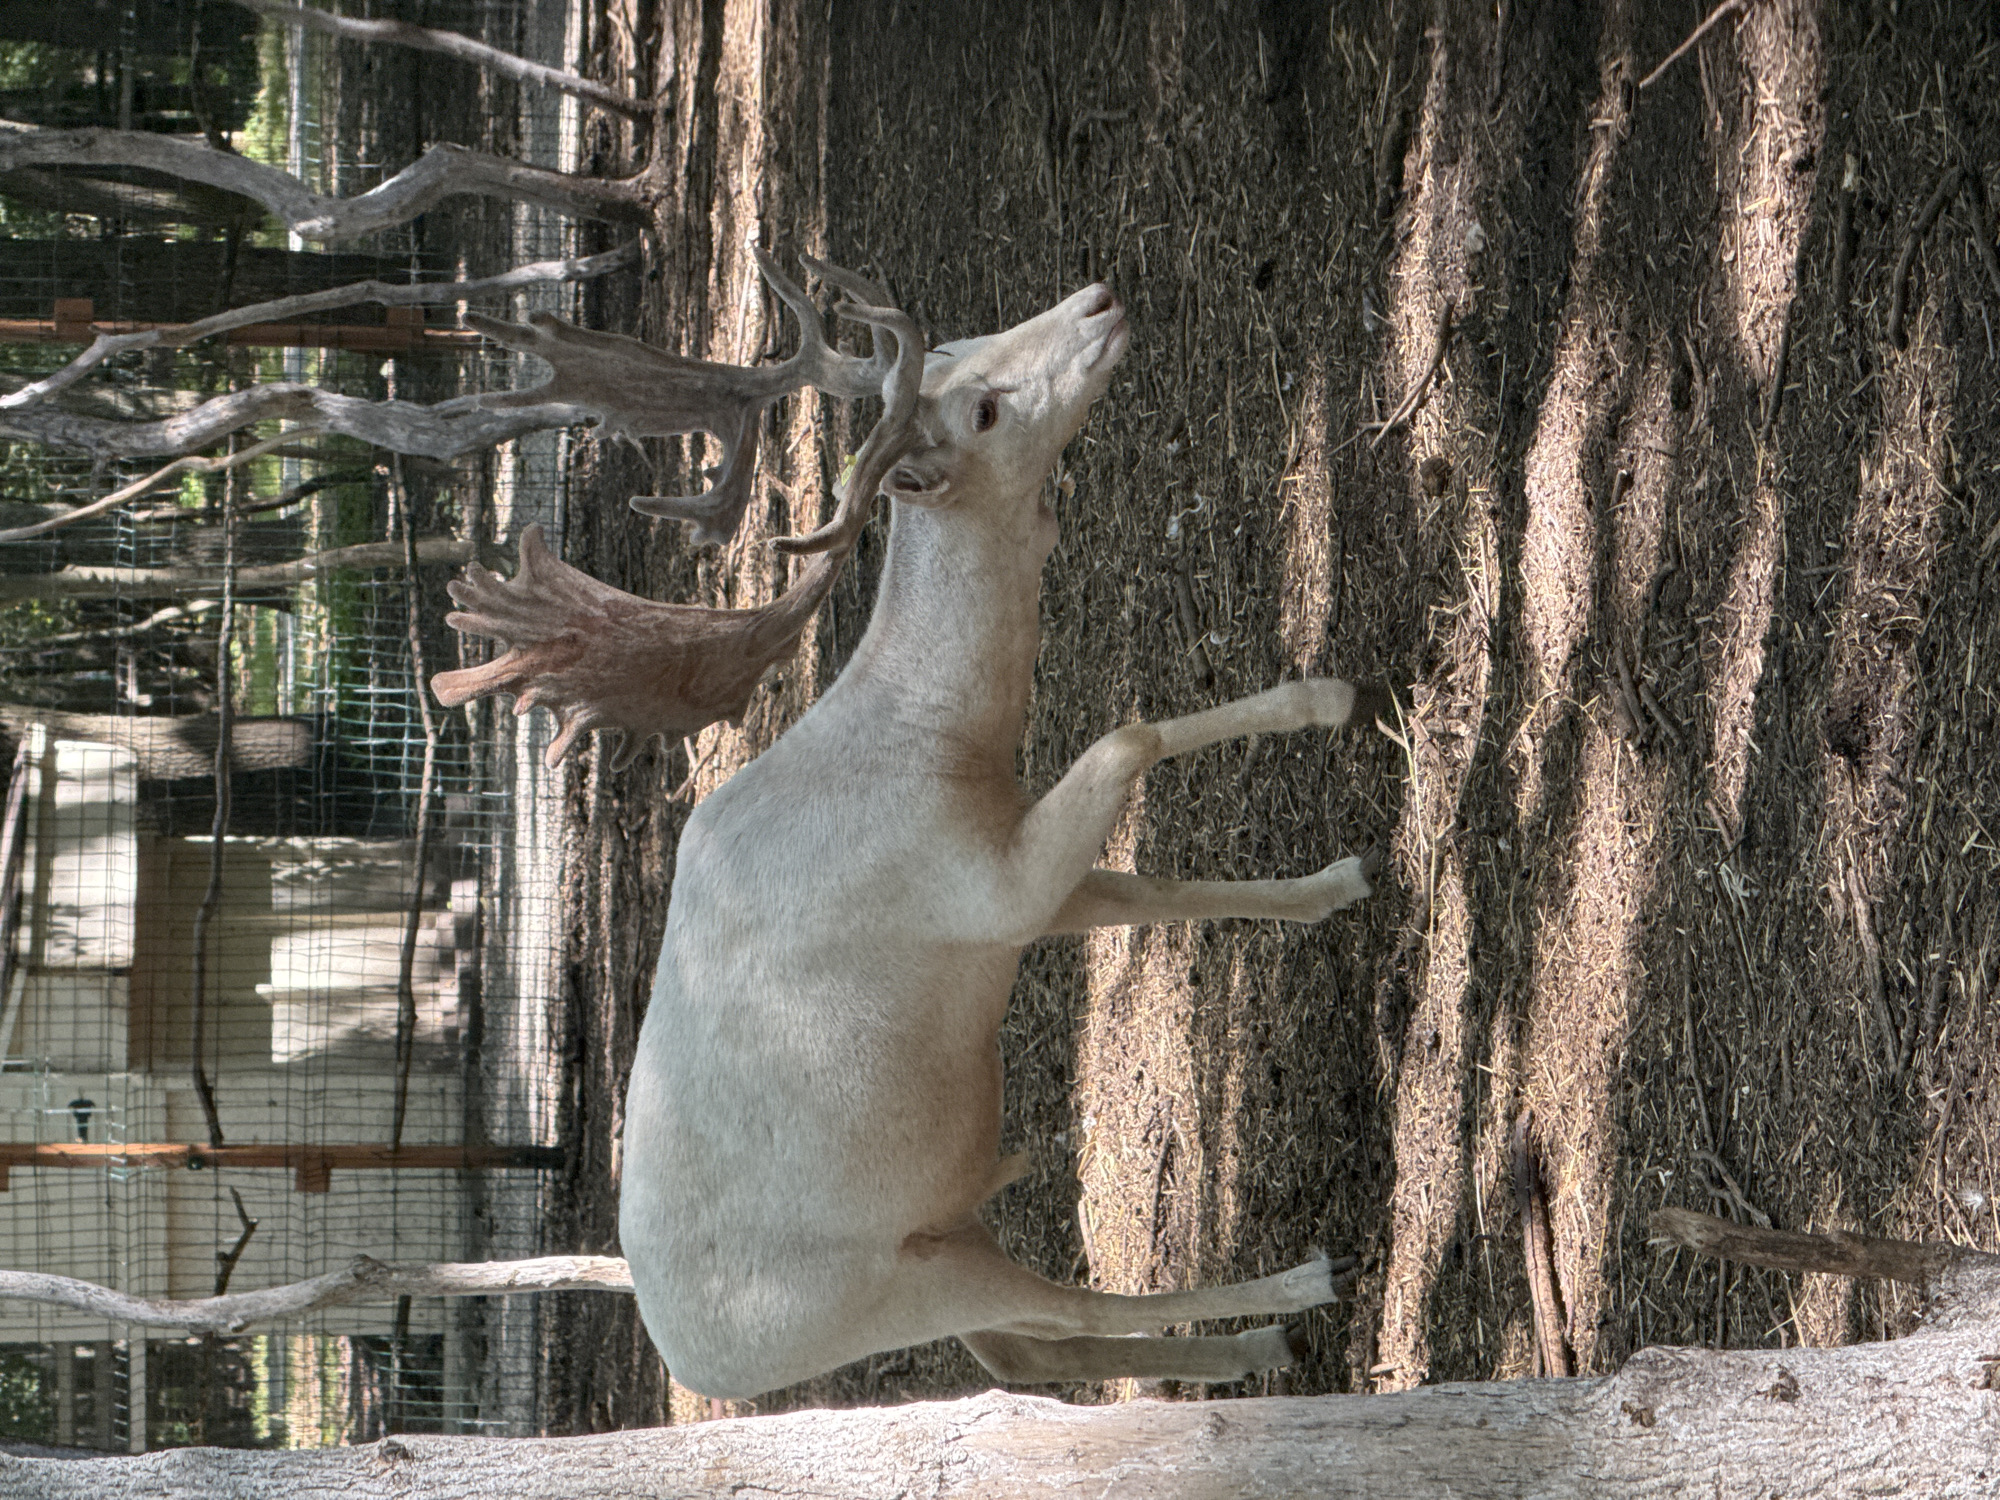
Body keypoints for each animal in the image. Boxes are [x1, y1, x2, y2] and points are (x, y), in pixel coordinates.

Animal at [432, 249, 1392, 1399]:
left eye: (961, 343)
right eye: (982, 408)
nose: (1099, 301)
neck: (939, 749)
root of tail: (691, 1359)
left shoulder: (1025, 894)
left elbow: (1157, 888)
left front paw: (1345, 878)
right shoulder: (991, 886)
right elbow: (1127, 736)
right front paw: (1333, 695)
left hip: (943, 1232)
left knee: (1027, 1350)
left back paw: (1253, 1348)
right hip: (889, 1288)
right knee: (1063, 1311)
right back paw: (1301, 1291)